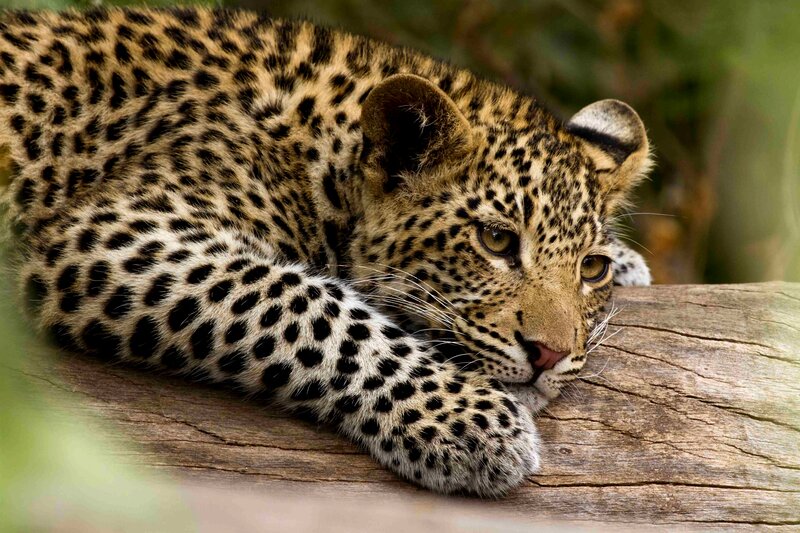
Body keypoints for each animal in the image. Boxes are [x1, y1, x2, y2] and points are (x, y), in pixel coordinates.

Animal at [0, 7, 652, 497]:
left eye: (590, 268)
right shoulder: (124, 228)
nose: (550, 355)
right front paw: (476, 423)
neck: (323, 151)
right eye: (495, 240)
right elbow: (311, 308)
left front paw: (629, 263)